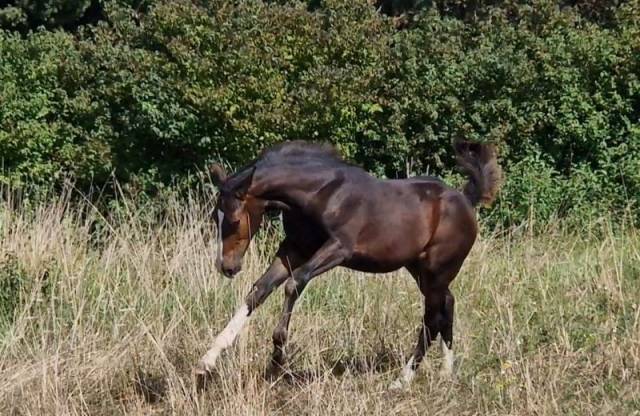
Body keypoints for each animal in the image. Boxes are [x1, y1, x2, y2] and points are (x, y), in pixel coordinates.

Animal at [195, 140, 501, 389]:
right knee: (447, 304)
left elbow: (295, 283)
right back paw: (446, 372)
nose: (227, 267)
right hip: (422, 270)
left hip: (438, 270)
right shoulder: (293, 249)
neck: (323, 193)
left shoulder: (339, 249)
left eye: (234, 220)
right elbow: (258, 291)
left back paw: (402, 380)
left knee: (431, 318)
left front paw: (277, 359)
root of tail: (467, 201)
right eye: (214, 217)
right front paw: (208, 360)